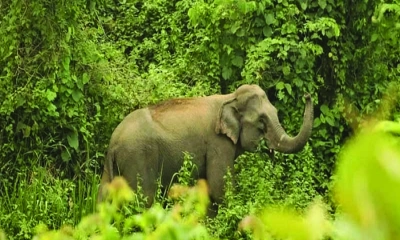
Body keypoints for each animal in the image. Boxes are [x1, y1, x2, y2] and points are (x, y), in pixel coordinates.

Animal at [97, 83, 312, 213]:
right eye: (262, 121)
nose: (307, 94)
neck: (230, 97)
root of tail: (114, 143)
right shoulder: (218, 143)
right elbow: (220, 188)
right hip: (138, 158)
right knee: (145, 201)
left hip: (112, 166)